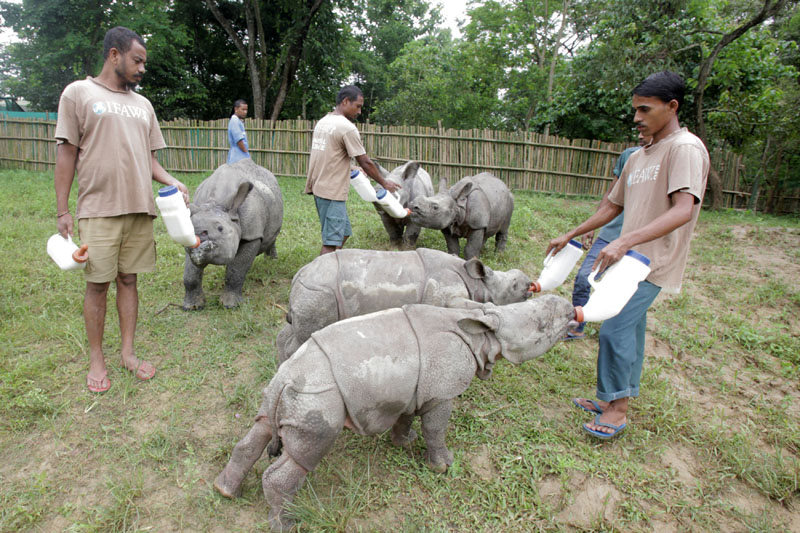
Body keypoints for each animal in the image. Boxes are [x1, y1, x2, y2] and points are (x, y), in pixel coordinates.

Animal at [183, 159, 283, 309]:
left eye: (220, 228)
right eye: (190, 230)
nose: (199, 235)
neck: (215, 202)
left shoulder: (252, 235)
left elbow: (236, 270)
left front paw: (230, 305)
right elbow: (190, 274)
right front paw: (191, 306)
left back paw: (271, 261)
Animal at [214, 295, 576, 532]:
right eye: (543, 327)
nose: (571, 308)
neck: (483, 332)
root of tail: (286, 380)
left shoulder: (412, 387)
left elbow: (407, 416)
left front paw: (404, 441)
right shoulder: (442, 391)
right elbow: (436, 429)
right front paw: (443, 467)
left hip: (286, 387)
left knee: (260, 428)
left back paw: (225, 491)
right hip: (317, 396)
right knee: (307, 453)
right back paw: (287, 524)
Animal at [275, 247, 535, 363]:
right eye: (513, 286)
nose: (529, 285)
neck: (476, 282)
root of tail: (299, 275)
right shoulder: (442, 294)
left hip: (311, 291)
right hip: (319, 292)